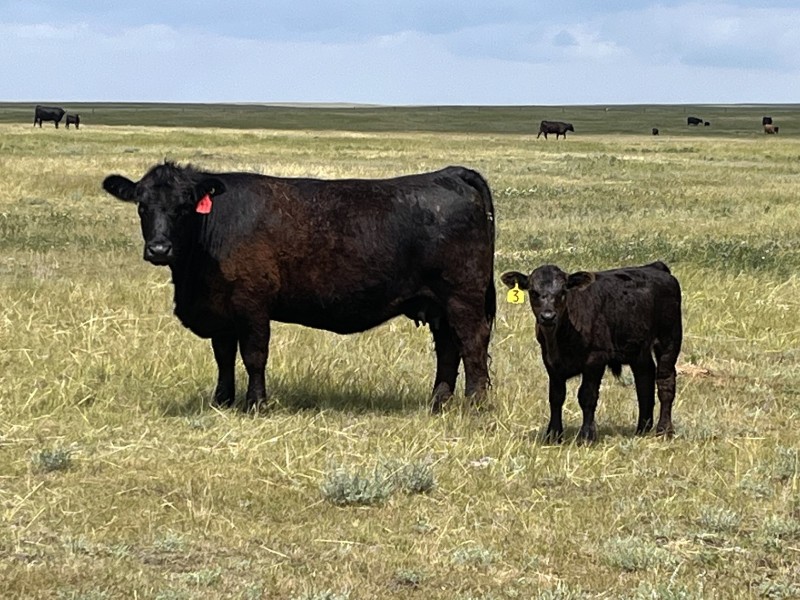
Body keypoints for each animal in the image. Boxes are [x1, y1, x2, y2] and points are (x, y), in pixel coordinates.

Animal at [102, 162, 496, 413]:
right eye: (142, 206)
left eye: (185, 206)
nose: (159, 249)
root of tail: (451, 173)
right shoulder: (221, 311)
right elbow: (224, 357)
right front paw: (222, 401)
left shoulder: (252, 305)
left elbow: (254, 356)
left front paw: (256, 404)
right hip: (438, 304)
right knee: (448, 349)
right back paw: (438, 403)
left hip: (463, 296)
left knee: (472, 343)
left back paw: (475, 405)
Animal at [501, 261, 682, 443]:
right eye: (533, 292)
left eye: (563, 291)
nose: (548, 316)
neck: (560, 340)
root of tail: (655, 267)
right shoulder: (550, 362)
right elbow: (556, 397)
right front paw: (553, 435)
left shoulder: (595, 359)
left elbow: (587, 396)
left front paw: (587, 436)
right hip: (638, 349)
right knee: (644, 380)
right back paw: (642, 429)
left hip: (669, 339)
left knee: (665, 382)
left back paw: (664, 430)